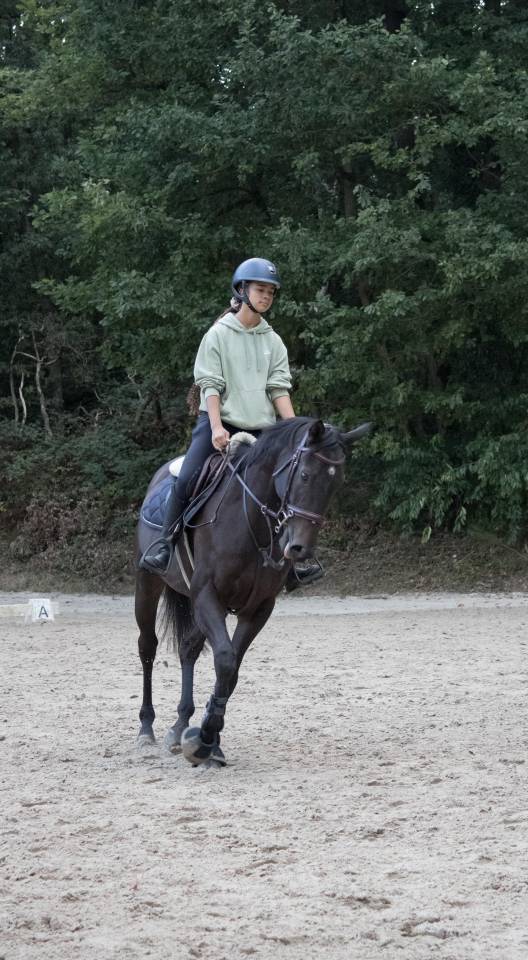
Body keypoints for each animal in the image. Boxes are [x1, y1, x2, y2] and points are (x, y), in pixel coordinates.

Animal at [134, 415, 371, 768]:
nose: (299, 548)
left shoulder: (258, 608)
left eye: (336, 483)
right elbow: (225, 661)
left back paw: (179, 724)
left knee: (188, 648)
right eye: (304, 474)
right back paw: (146, 726)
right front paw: (204, 741)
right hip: (148, 582)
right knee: (147, 647)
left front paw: (210, 739)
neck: (249, 522)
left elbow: (231, 671)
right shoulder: (207, 596)